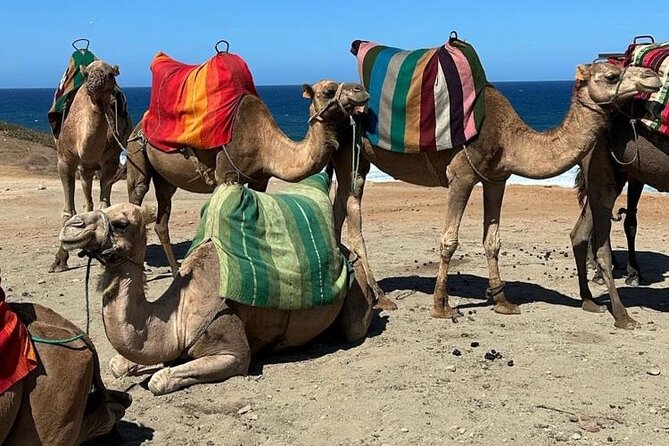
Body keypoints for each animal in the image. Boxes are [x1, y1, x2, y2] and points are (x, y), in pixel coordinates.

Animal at [50, 60, 133, 273]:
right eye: (87, 74)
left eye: (111, 74)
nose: (96, 81)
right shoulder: (64, 160)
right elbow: (68, 212)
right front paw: (59, 260)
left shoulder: (110, 161)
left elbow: (106, 206)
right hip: (83, 168)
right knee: (87, 198)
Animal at [58, 200, 375, 395]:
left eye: (121, 223)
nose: (71, 225)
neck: (178, 316)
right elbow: (118, 365)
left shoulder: (234, 353)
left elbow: (160, 380)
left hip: (356, 288)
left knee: (355, 326)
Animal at [126, 80, 369, 275]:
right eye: (329, 91)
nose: (361, 90)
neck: (264, 143)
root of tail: (139, 125)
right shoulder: (226, 174)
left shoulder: (260, 179)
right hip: (135, 153)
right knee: (137, 192)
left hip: (165, 178)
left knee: (162, 220)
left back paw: (177, 273)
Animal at [330, 55, 662, 318]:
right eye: (611, 75)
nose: (652, 77)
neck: (509, 137)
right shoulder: (461, 174)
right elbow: (449, 241)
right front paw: (441, 306)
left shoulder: (496, 178)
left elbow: (493, 241)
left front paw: (502, 301)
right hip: (351, 155)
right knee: (354, 219)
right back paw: (381, 297)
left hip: (353, 157)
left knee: (338, 210)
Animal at [571, 113, 669, 328]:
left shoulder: (636, 175)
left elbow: (630, 221)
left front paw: (634, 273)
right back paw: (622, 315)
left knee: (580, 233)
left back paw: (589, 300)